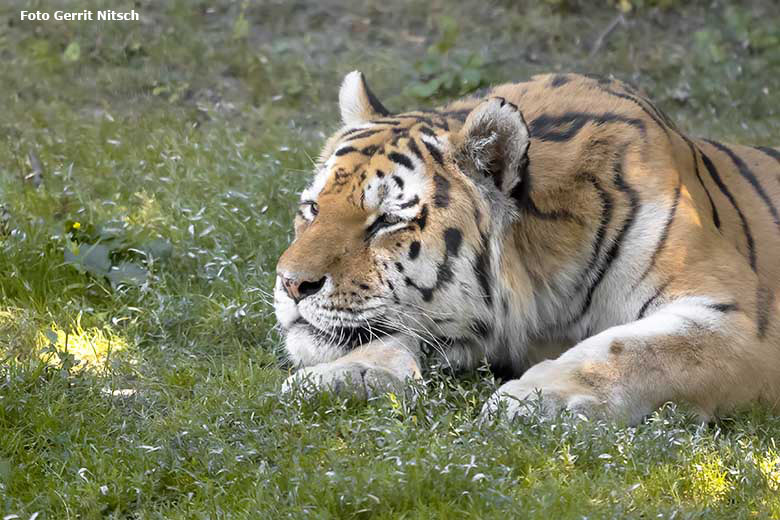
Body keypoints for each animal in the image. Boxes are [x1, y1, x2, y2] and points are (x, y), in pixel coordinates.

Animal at [272, 71, 780, 424]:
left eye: (388, 221)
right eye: (313, 208)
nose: (292, 284)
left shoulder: (739, 319)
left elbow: (631, 349)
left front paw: (533, 398)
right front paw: (342, 374)